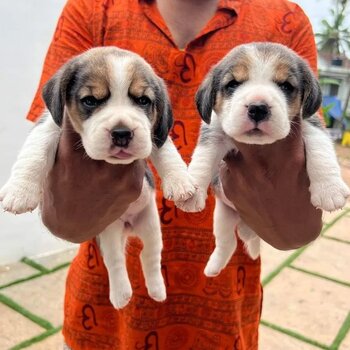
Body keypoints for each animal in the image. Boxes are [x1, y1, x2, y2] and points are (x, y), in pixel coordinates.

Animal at [0, 47, 194, 308]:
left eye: (143, 101)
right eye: (90, 101)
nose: (122, 133)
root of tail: (128, 226)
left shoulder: (151, 132)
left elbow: (166, 150)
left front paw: (181, 182)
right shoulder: (50, 123)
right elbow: (35, 150)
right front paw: (19, 191)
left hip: (151, 225)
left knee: (150, 256)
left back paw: (156, 290)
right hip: (109, 231)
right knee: (116, 261)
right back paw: (121, 294)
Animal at [178, 41, 350, 276]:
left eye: (286, 86)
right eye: (233, 84)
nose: (258, 108)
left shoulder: (311, 123)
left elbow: (321, 150)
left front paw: (329, 189)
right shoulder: (214, 131)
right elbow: (203, 160)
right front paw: (192, 191)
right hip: (222, 216)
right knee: (227, 243)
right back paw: (214, 267)